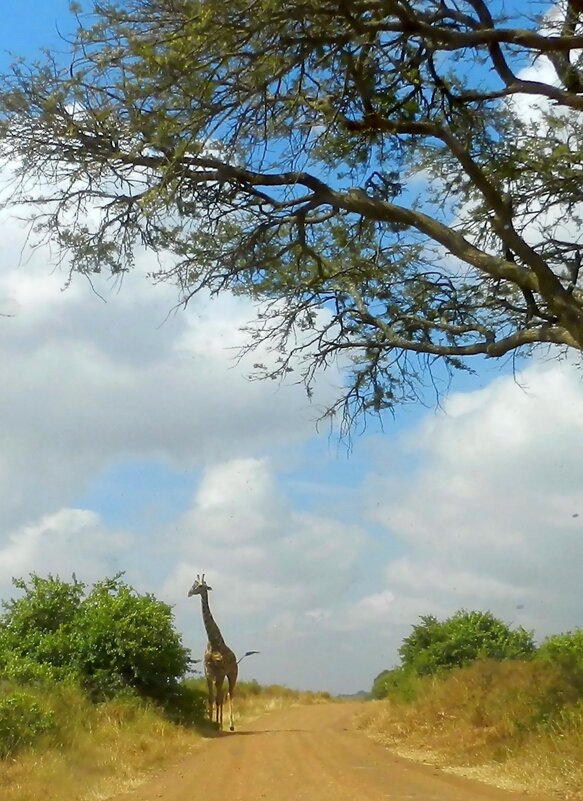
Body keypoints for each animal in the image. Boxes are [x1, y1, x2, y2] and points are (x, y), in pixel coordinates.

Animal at [189, 568, 240, 732]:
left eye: (201, 586)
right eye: (194, 584)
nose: (189, 593)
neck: (214, 643)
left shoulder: (221, 673)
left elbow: (218, 699)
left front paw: (218, 723)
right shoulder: (209, 673)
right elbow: (211, 698)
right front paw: (211, 722)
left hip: (232, 674)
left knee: (229, 694)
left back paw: (230, 725)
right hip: (221, 677)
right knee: (221, 695)